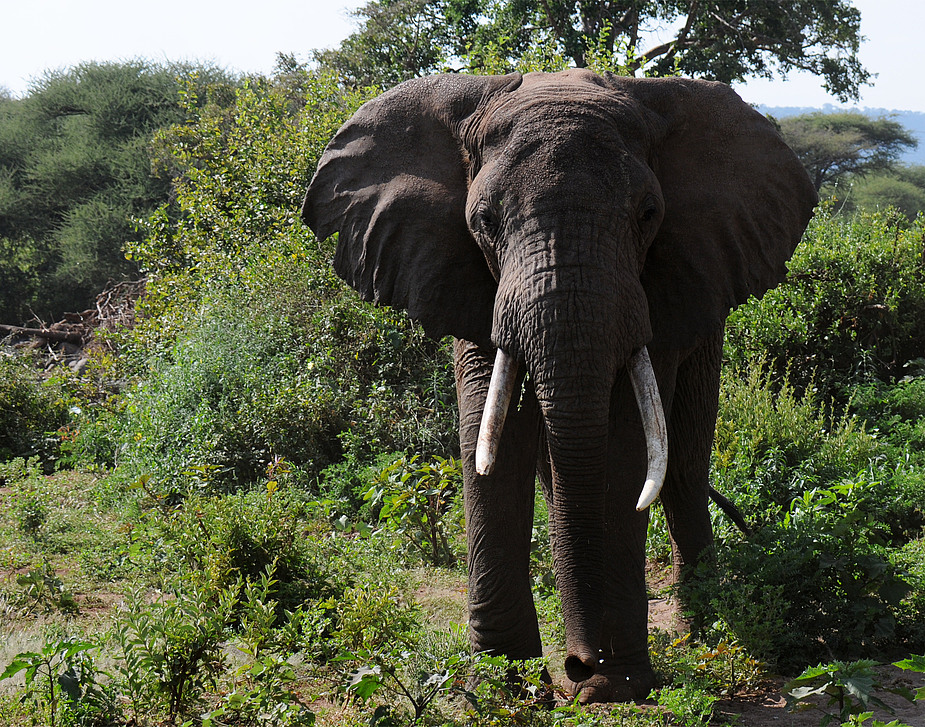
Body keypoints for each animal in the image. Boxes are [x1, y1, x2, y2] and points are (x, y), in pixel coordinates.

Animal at [300, 68, 812, 704]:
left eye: (649, 214)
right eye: (483, 221)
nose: (579, 667)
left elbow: (626, 446)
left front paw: (618, 687)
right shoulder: (466, 277)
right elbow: (492, 433)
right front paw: (507, 687)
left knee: (684, 467)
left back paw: (707, 630)